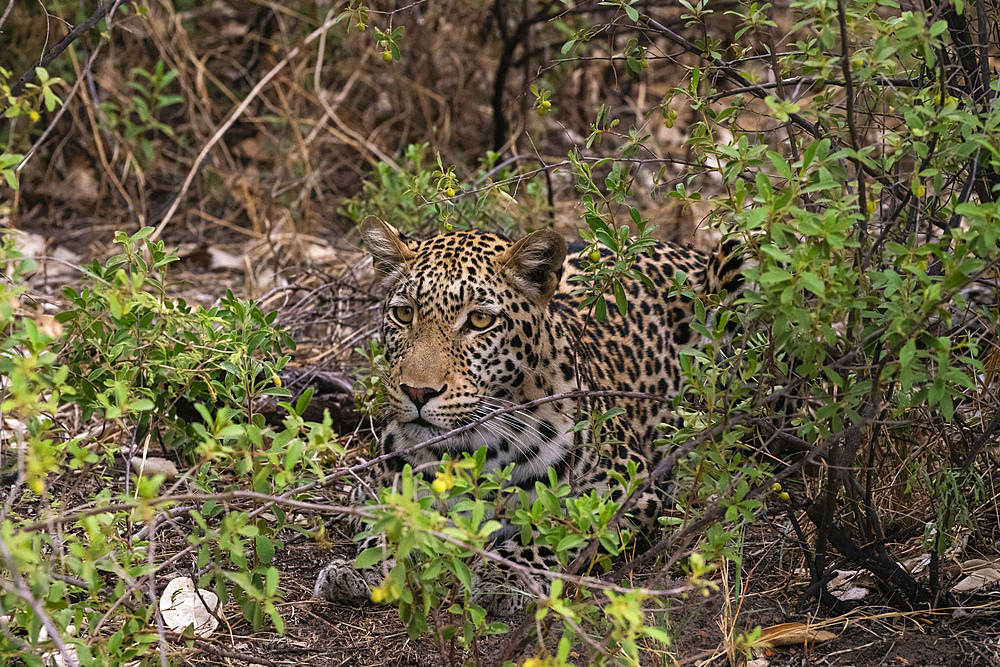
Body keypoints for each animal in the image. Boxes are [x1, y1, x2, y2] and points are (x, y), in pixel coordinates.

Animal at [312, 217, 744, 620]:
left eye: (479, 321)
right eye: (404, 314)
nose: (418, 392)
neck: (470, 450)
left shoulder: (626, 486)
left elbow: (556, 525)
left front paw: (504, 577)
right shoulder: (379, 488)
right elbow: (388, 519)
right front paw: (361, 567)